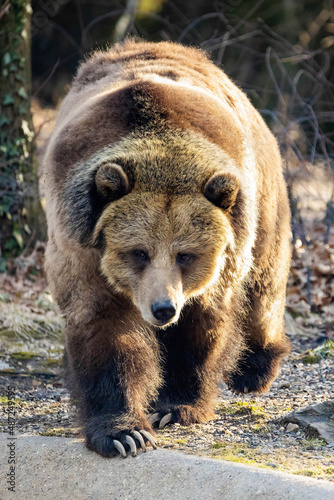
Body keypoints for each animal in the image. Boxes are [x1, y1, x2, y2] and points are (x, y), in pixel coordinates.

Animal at [43, 39, 290, 458]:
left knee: (263, 286)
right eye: (138, 252)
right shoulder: (82, 244)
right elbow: (104, 328)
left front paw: (175, 405)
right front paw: (124, 432)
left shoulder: (219, 260)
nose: (163, 308)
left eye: (185, 254)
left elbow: (201, 325)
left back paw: (255, 367)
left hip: (261, 198)